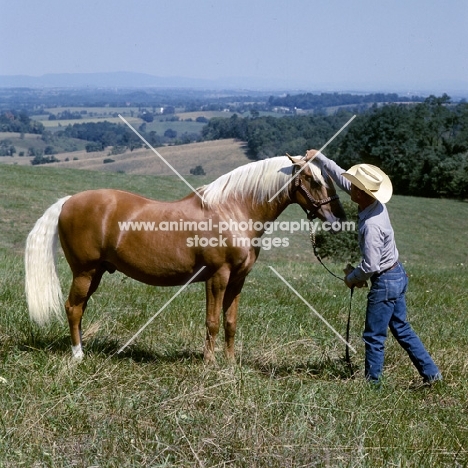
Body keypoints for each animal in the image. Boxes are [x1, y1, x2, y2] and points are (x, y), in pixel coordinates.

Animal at [25, 154, 346, 362]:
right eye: (311, 180)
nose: (336, 219)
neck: (233, 210)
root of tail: (68, 201)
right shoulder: (217, 276)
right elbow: (212, 322)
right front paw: (209, 365)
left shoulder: (238, 280)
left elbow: (230, 322)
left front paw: (230, 366)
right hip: (85, 271)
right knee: (73, 308)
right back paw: (78, 356)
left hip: (97, 273)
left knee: (79, 308)